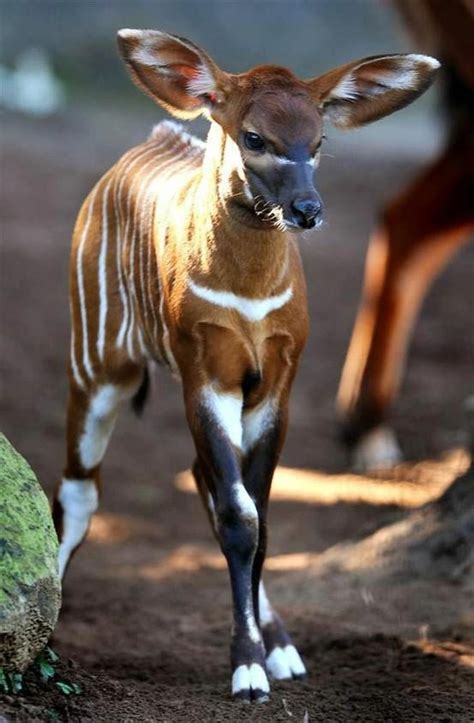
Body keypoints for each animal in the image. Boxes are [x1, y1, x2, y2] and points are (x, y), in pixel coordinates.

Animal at [53, 28, 438, 700]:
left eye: (319, 140)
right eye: (255, 137)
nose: (308, 210)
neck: (250, 292)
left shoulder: (274, 386)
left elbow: (257, 520)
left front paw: (272, 655)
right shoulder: (205, 375)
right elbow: (240, 518)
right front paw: (247, 670)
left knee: (204, 482)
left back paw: (279, 642)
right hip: (97, 366)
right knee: (80, 489)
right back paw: (44, 623)